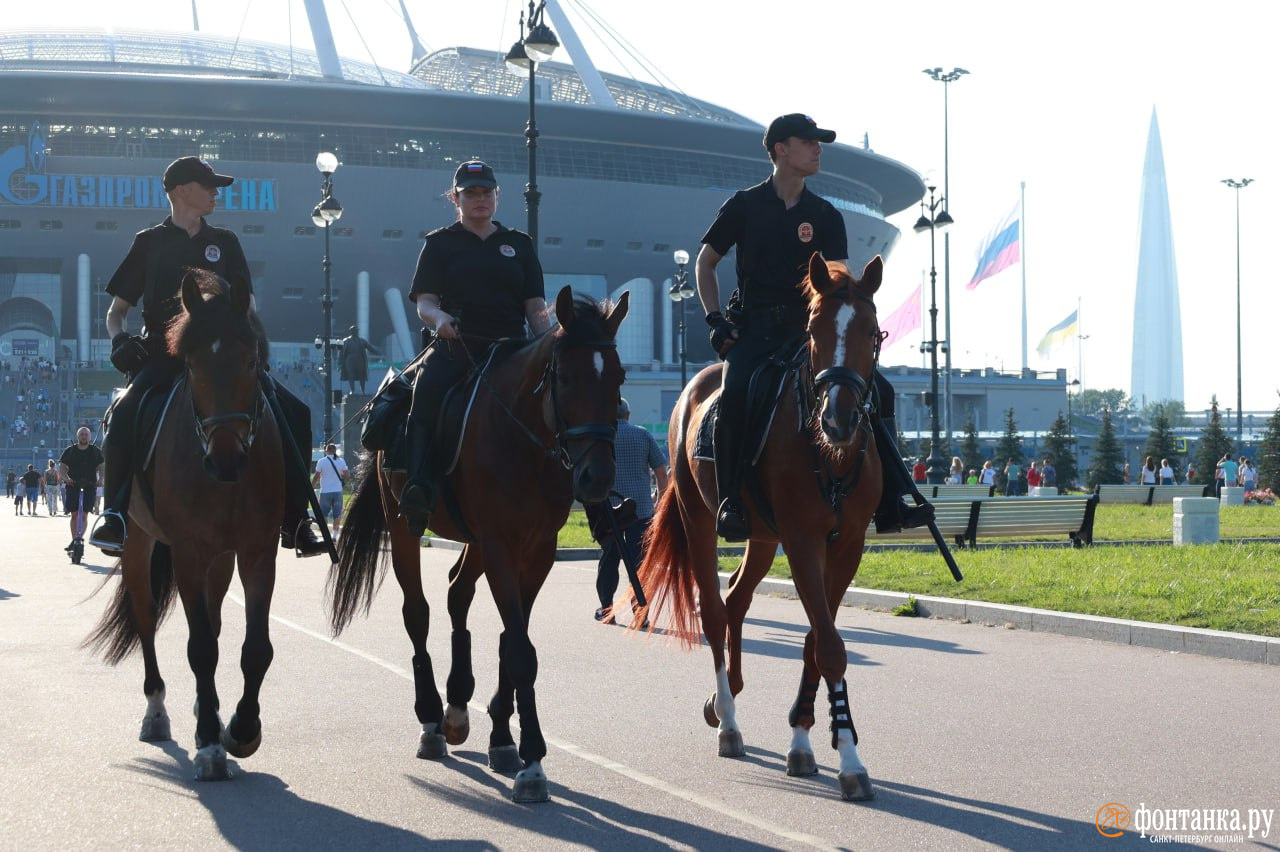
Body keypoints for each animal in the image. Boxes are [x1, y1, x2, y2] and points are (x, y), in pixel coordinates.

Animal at [85, 268, 285, 777]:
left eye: (251, 361)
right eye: (191, 366)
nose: (226, 459)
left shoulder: (257, 551)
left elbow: (255, 648)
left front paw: (241, 729)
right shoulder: (189, 552)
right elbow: (200, 649)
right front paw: (212, 745)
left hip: (220, 558)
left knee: (211, 620)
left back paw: (204, 708)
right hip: (140, 541)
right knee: (145, 617)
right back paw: (158, 712)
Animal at [327, 289, 627, 798]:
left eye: (620, 377)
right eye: (565, 377)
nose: (597, 478)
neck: (525, 441)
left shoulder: (537, 552)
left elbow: (512, 639)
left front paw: (504, 738)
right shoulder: (501, 545)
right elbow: (521, 651)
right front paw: (532, 761)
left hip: (476, 542)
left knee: (457, 593)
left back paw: (458, 704)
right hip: (405, 526)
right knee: (418, 612)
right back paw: (432, 719)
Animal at [637, 252, 885, 798]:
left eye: (872, 330)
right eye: (812, 330)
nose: (838, 419)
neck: (829, 455)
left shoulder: (847, 545)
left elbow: (817, 639)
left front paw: (805, 738)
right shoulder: (803, 540)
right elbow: (829, 645)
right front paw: (849, 760)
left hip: (762, 537)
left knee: (735, 599)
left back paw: (726, 696)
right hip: (700, 518)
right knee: (713, 611)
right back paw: (728, 721)